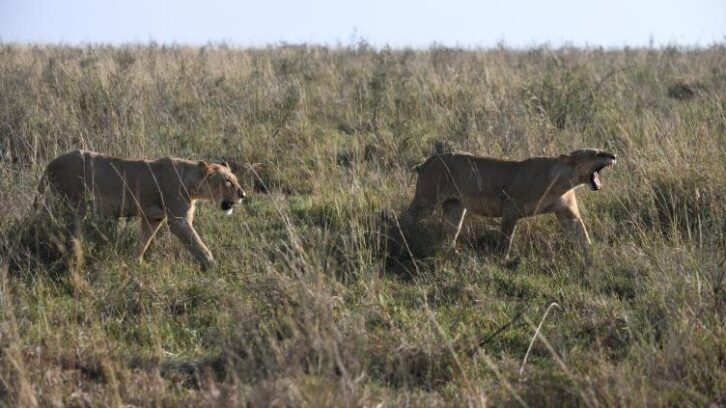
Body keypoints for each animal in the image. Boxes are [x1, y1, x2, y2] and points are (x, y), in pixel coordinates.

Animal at [36, 150, 246, 270]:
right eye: (227, 181)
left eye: (235, 179)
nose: (243, 194)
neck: (192, 180)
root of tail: (50, 164)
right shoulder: (178, 221)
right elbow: (197, 244)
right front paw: (213, 266)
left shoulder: (152, 219)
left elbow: (143, 242)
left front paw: (136, 263)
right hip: (74, 204)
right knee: (66, 231)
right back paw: (72, 255)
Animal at [403, 148, 617, 261]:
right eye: (595, 153)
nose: (613, 155)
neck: (564, 182)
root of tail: (426, 162)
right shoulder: (510, 208)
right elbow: (507, 238)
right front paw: (503, 260)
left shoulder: (567, 212)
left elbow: (581, 235)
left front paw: (594, 257)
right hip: (426, 200)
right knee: (406, 218)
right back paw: (403, 237)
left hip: (454, 206)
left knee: (450, 231)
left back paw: (453, 252)